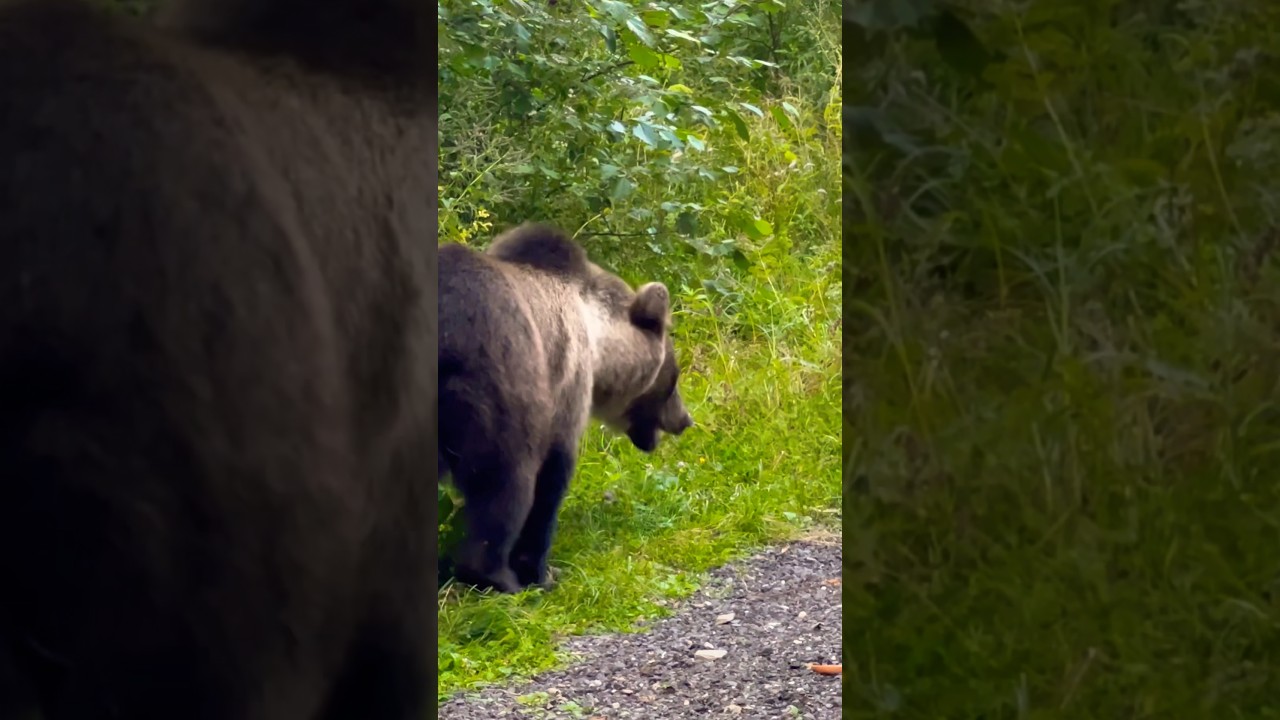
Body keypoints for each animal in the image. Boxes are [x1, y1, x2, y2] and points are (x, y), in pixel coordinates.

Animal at [438, 223, 694, 595]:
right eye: (673, 377)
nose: (685, 419)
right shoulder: (565, 379)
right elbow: (551, 475)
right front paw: (541, 571)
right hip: (496, 383)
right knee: (507, 480)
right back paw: (498, 576)